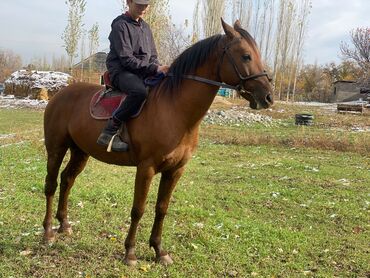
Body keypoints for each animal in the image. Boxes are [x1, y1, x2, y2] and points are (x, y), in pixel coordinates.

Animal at [42, 19, 274, 264]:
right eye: (246, 56)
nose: (268, 97)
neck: (175, 109)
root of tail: (60, 94)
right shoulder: (146, 168)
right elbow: (138, 209)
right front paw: (130, 252)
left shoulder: (175, 170)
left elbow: (162, 208)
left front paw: (159, 250)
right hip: (56, 149)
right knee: (51, 184)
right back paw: (47, 232)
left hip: (80, 152)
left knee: (67, 180)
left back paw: (64, 224)